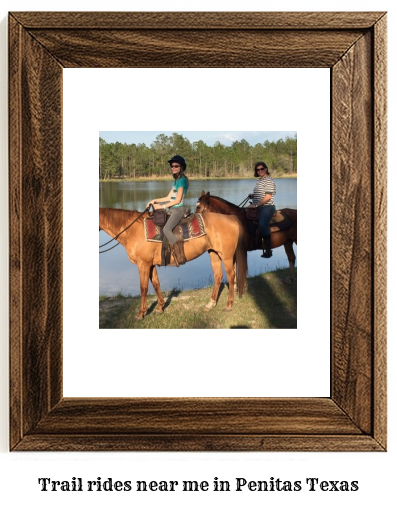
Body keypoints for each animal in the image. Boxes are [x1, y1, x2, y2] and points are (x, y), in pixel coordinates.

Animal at [99, 207, 248, 320]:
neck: (133, 230)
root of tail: (231, 218)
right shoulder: (151, 265)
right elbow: (156, 283)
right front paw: (160, 307)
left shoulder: (143, 264)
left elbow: (143, 288)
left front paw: (141, 313)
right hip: (214, 253)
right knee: (218, 276)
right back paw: (210, 304)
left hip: (226, 256)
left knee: (231, 276)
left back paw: (229, 305)